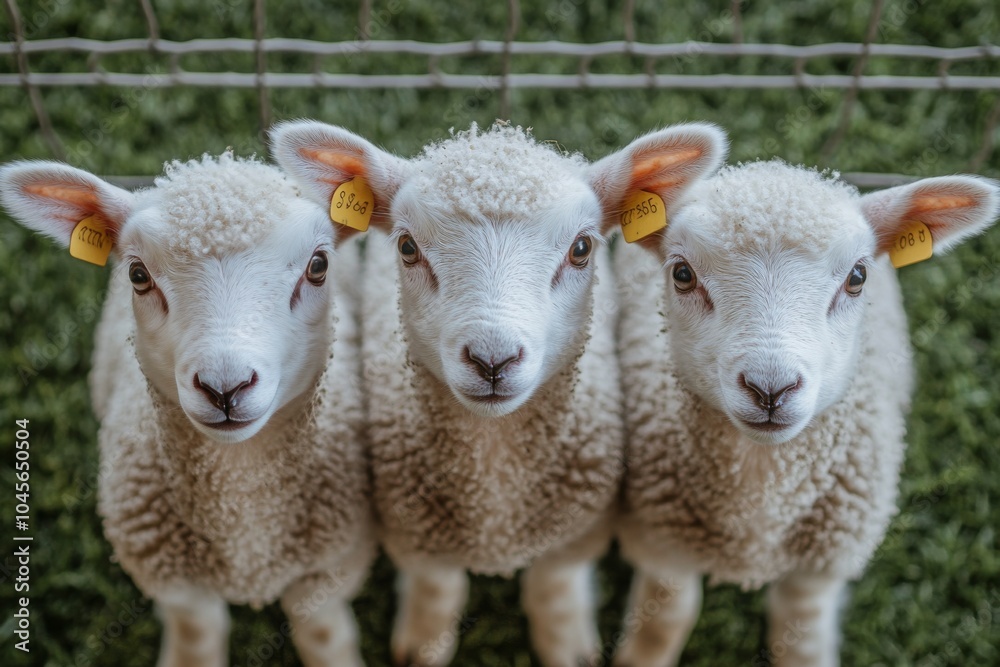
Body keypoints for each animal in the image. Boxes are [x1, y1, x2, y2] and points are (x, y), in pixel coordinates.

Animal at [0, 153, 374, 667]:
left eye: (318, 266)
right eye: (138, 276)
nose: (225, 387)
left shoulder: (333, 565)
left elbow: (321, 632)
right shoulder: (175, 583)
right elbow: (197, 635)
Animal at [272, 119, 728, 666]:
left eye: (581, 248)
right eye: (407, 247)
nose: (493, 360)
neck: (496, 486)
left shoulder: (574, 533)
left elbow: (553, 589)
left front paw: (564, 645)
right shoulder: (417, 535)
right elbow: (438, 588)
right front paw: (425, 641)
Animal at [607, 159, 1000, 667]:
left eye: (857, 277)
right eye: (682, 274)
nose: (770, 389)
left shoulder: (818, 571)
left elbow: (801, 641)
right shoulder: (660, 543)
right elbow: (662, 624)